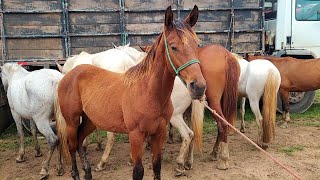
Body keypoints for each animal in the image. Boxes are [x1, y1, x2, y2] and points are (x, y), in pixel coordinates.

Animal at [55, 5, 206, 180]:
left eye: (197, 45)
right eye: (173, 46)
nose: (199, 87)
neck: (148, 92)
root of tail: (69, 75)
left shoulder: (159, 133)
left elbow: (157, 167)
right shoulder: (136, 135)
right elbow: (138, 171)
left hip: (90, 120)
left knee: (80, 140)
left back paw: (88, 172)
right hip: (71, 121)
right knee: (72, 145)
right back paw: (77, 173)